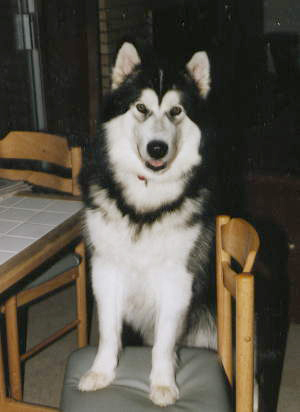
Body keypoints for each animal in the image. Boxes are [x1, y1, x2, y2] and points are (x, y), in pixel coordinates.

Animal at [78, 41, 230, 406]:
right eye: (141, 108)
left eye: (176, 111)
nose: (157, 148)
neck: (145, 201)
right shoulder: (106, 271)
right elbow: (108, 332)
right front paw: (101, 373)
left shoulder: (177, 280)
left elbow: (163, 342)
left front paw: (162, 384)